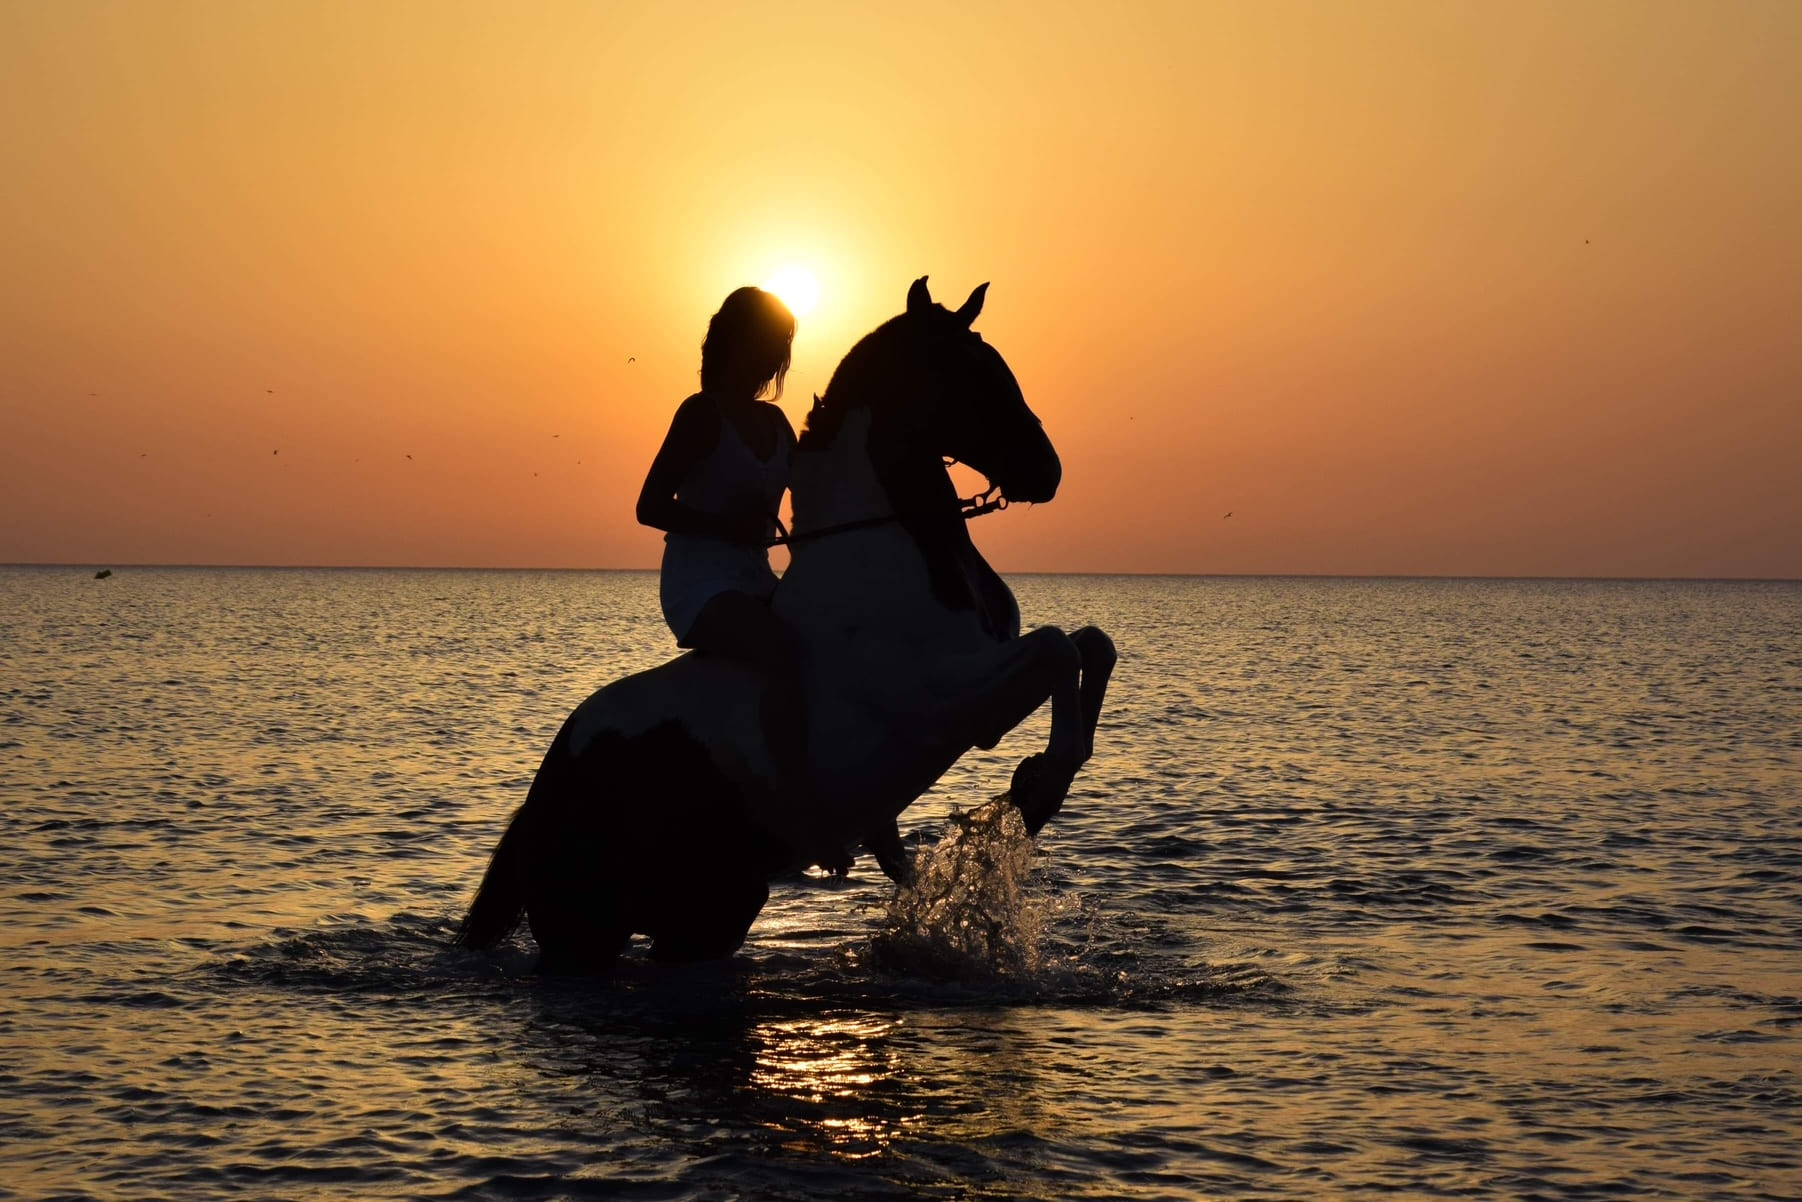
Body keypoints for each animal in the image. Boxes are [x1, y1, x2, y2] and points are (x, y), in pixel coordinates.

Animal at [454, 277, 1116, 972]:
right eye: (970, 372)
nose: (1048, 469)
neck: (894, 555)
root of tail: (539, 795)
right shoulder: (946, 701)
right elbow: (1057, 650)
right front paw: (1038, 788)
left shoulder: (983, 685)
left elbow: (1092, 645)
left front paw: (1035, 781)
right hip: (585, 936)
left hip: (710, 917)